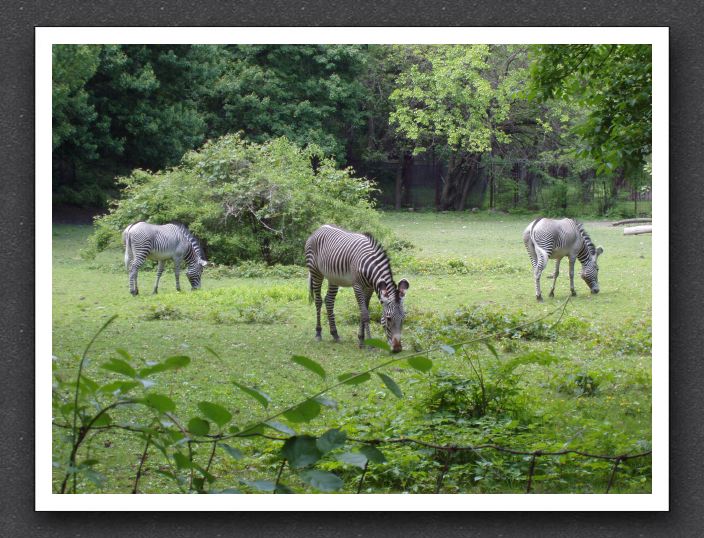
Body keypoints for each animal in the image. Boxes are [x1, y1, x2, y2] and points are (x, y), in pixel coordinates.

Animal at [305, 225, 410, 353]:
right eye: (389, 319)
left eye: (403, 318)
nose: (397, 349)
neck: (370, 267)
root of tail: (319, 228)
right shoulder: (357, 286)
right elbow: (365, 314)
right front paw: (369, 343)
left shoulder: (369, 288)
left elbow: (364, 310)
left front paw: (361, 339)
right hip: (316, 272)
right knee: (318, 301)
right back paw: (318, 333)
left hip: (333, 277)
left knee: (329, 301)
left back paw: (335, 334)